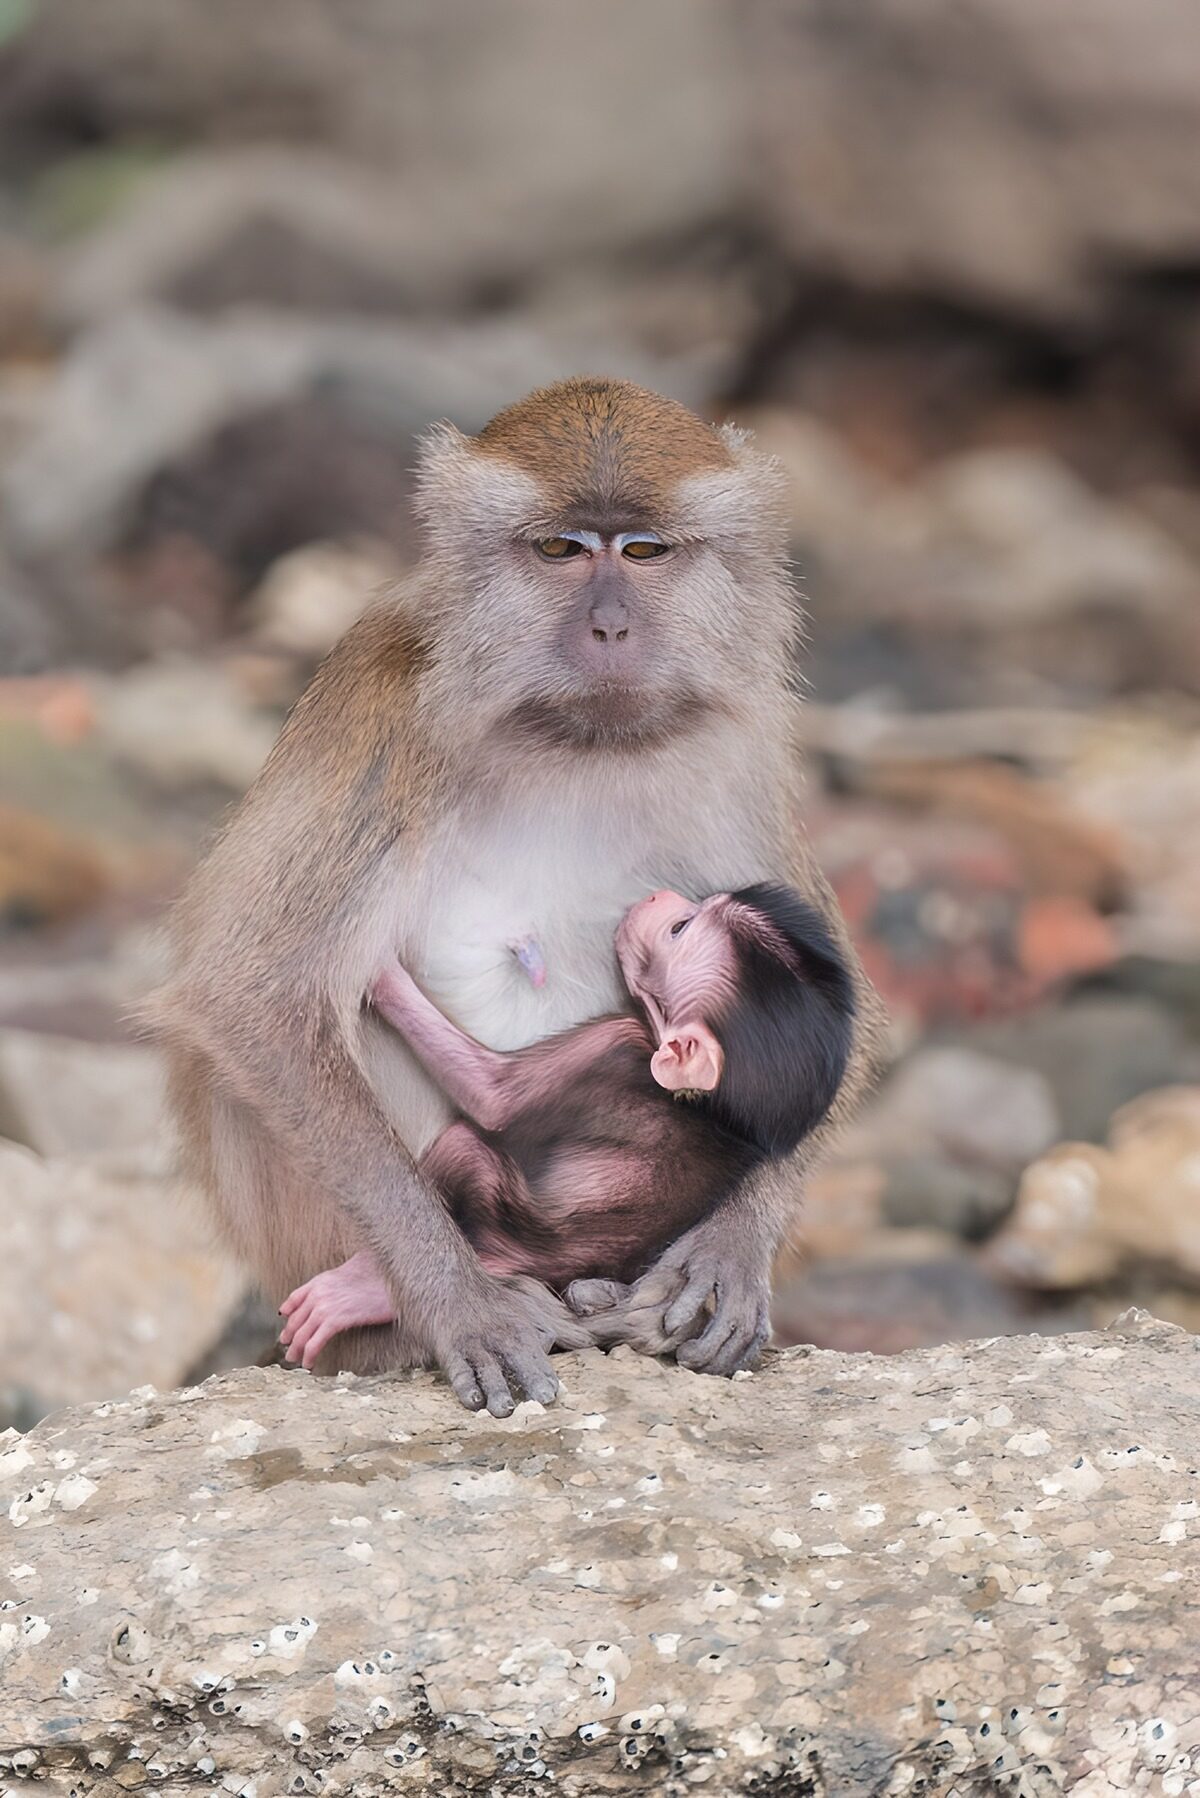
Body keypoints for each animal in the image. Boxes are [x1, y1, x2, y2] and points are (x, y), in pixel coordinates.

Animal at [276, 883, 857, 1369]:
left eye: (679, 930)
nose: (659, 895)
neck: (720, 1111)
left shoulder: (615, 1040)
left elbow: (492, 1096)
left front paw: (381, 971)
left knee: (466, 1146)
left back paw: (364, 1285)